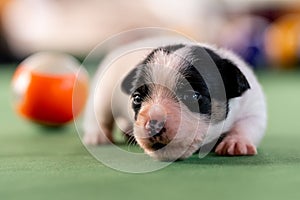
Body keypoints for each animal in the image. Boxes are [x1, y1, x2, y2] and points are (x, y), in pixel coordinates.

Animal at [82, 43, 268, 161]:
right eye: (137, 98)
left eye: (193, 96)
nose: (154, 124)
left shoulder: (253, 106)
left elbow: (248, 123)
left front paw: (236, 141)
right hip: (103, 91)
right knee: (98, 115)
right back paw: (97, 135)